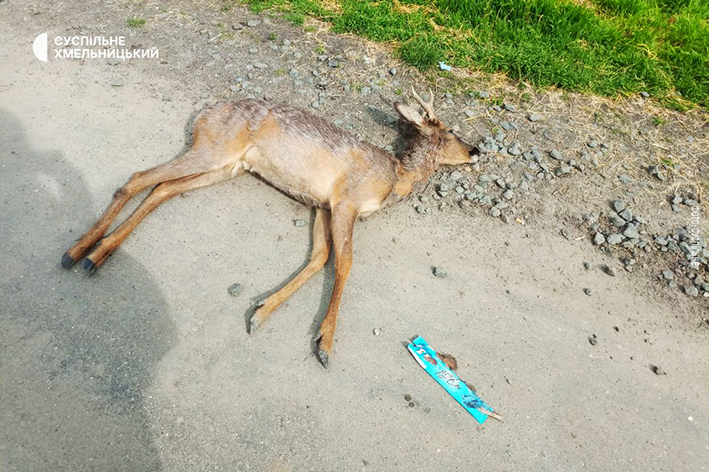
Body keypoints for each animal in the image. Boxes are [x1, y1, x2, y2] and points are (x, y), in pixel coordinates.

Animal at [60, 88, 478, 368]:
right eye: (451, 132)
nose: (476, 151)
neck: (395, 177)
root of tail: (206, 113)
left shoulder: (322, 206)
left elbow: (320, 257)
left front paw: (261, 310)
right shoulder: (345, 201)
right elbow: (344, 262)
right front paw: (325, 343)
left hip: (227, 166)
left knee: (162, 188)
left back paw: (96, 253)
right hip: (215, 149)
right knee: (139, 177)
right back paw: (77, 253)